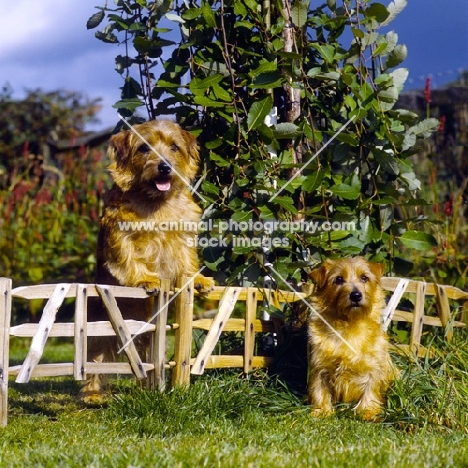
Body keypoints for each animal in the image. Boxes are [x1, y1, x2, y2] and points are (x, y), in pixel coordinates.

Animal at [82, 119, 214, 400]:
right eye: (144, 148)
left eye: (174, 147)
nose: (164, 166)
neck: (156, 202)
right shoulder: (120, 234)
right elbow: (128, 257)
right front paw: (146, 279)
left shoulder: (182, 237)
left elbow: (187, 261)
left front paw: (198, 280)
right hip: (103, 328)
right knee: (95, 359)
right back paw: (92, 394)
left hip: (147, 335)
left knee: (145, 363)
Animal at [308, 256, 394, 420]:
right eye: (339, 279)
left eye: (364, 277)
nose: (356, 295)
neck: (349, 324)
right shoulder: (319, 366)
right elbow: (319, 390)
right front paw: (322, 411)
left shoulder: (374, 367)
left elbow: (371, 390)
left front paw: (367, 411)